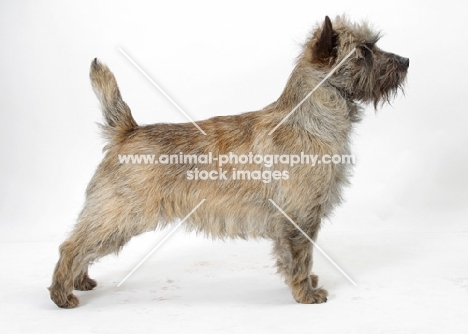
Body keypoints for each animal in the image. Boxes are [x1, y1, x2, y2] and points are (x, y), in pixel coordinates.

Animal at [46, 15, 406, 308]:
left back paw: (80, 280)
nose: (405, 60)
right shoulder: (298, 216)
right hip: (120, 215)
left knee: (82, 244)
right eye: (365, 51)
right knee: (72, 245)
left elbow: (296, 258)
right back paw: (62, 294)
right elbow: (300, 257)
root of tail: (127, 131)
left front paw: (308, 284)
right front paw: (306, 293)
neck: (309, 120)